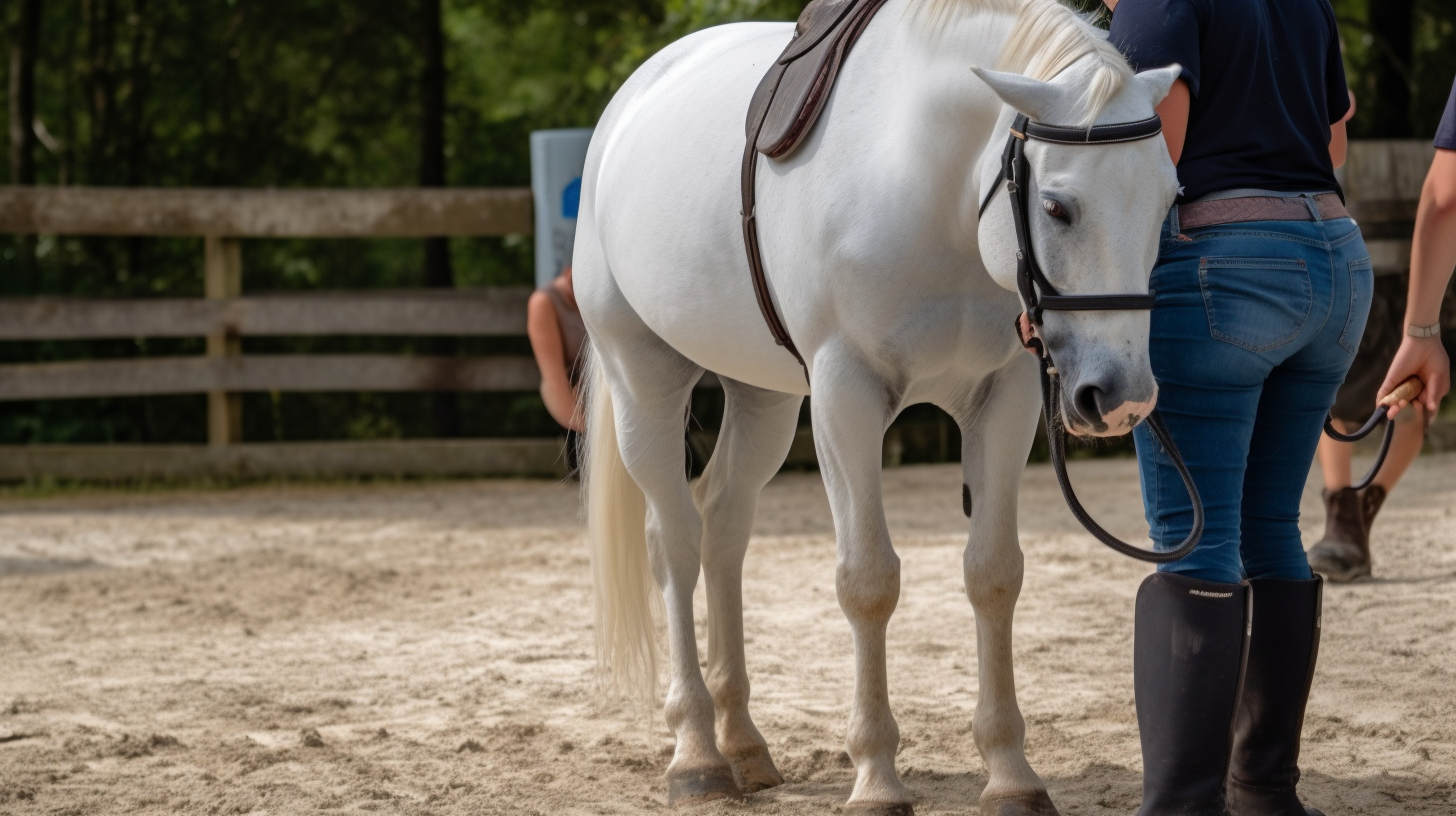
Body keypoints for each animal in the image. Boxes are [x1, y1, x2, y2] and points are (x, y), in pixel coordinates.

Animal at [573, 1, 1176, 810]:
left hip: (763, 397)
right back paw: (697, 756)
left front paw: (1011, 775)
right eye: (1057, 207)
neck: (928, 189)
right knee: (675, 543)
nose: (1121, 397)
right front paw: (877, 778)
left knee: (723, 524)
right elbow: (867, 581)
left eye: (1169, 200)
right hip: (645, 375)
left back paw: (744, 744)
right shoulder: (845, 393)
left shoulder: (1005, 395)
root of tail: (628, 102)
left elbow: (994, 573)